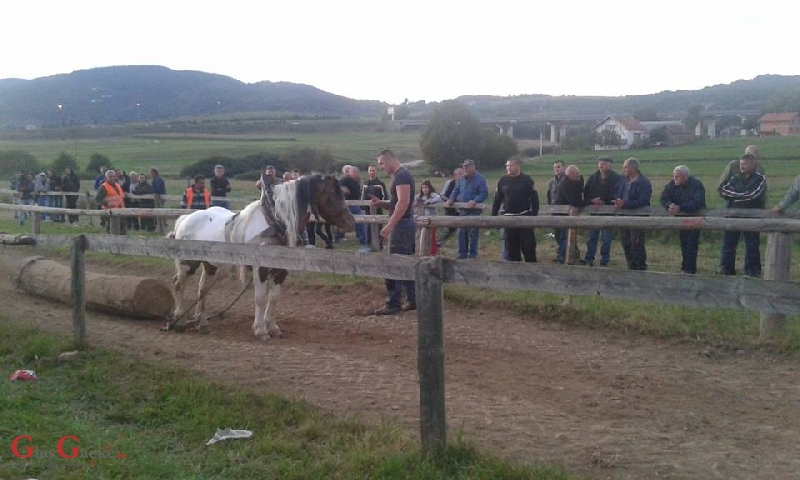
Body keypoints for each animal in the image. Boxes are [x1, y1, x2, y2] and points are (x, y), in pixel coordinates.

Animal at [168, 174, 354, 340]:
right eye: (332, 193)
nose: (351, 222)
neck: (276, 223)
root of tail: (185, 218)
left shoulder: (281, 270)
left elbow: (274, 298)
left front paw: (273, 327)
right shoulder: (260, 269)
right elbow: (261, 299)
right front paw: (261, 330)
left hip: (211, 265)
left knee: (202, 289)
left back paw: (203, 323)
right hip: (188, 263)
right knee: (178, 284)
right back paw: (179, 320)